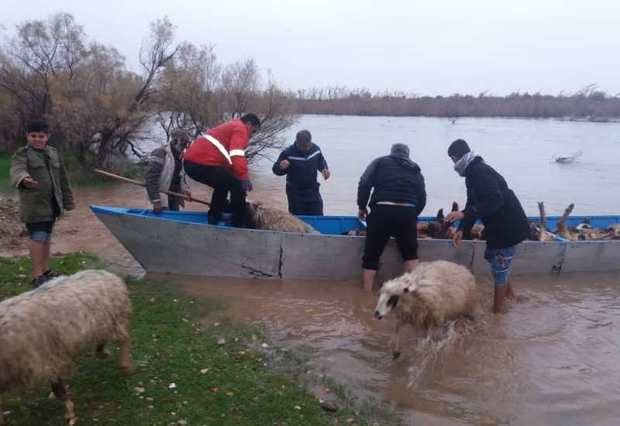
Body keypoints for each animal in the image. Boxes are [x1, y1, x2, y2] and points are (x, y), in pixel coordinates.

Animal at [0, 272, 132, 424]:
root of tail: (107, 274)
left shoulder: (49, 361)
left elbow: (59, 390)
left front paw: (70, 413)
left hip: (115, 319)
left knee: (124, 340)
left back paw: (124, 365)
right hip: (102, 323)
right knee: (104, 339)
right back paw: (102, 352)